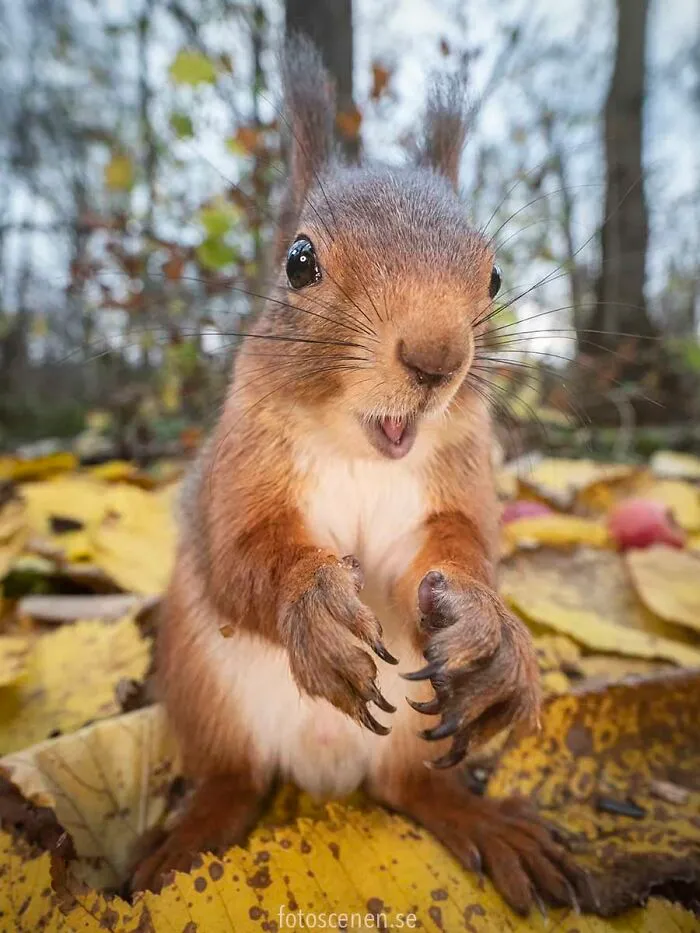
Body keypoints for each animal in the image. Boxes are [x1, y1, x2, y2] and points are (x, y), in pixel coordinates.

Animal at [131, 38, 588, 915]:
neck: (363, 451)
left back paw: (485, 820)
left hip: (416, 726)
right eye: (299, 260)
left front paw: (490, 629)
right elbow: (240, 553)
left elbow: (455, 553)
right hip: (200, 684)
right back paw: (184, 843)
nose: (437, 357)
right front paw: (313, 607)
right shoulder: (234, 474)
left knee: (412, 789)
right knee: (235, 778)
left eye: (495, 276)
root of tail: (325, 772)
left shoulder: (451, 489)